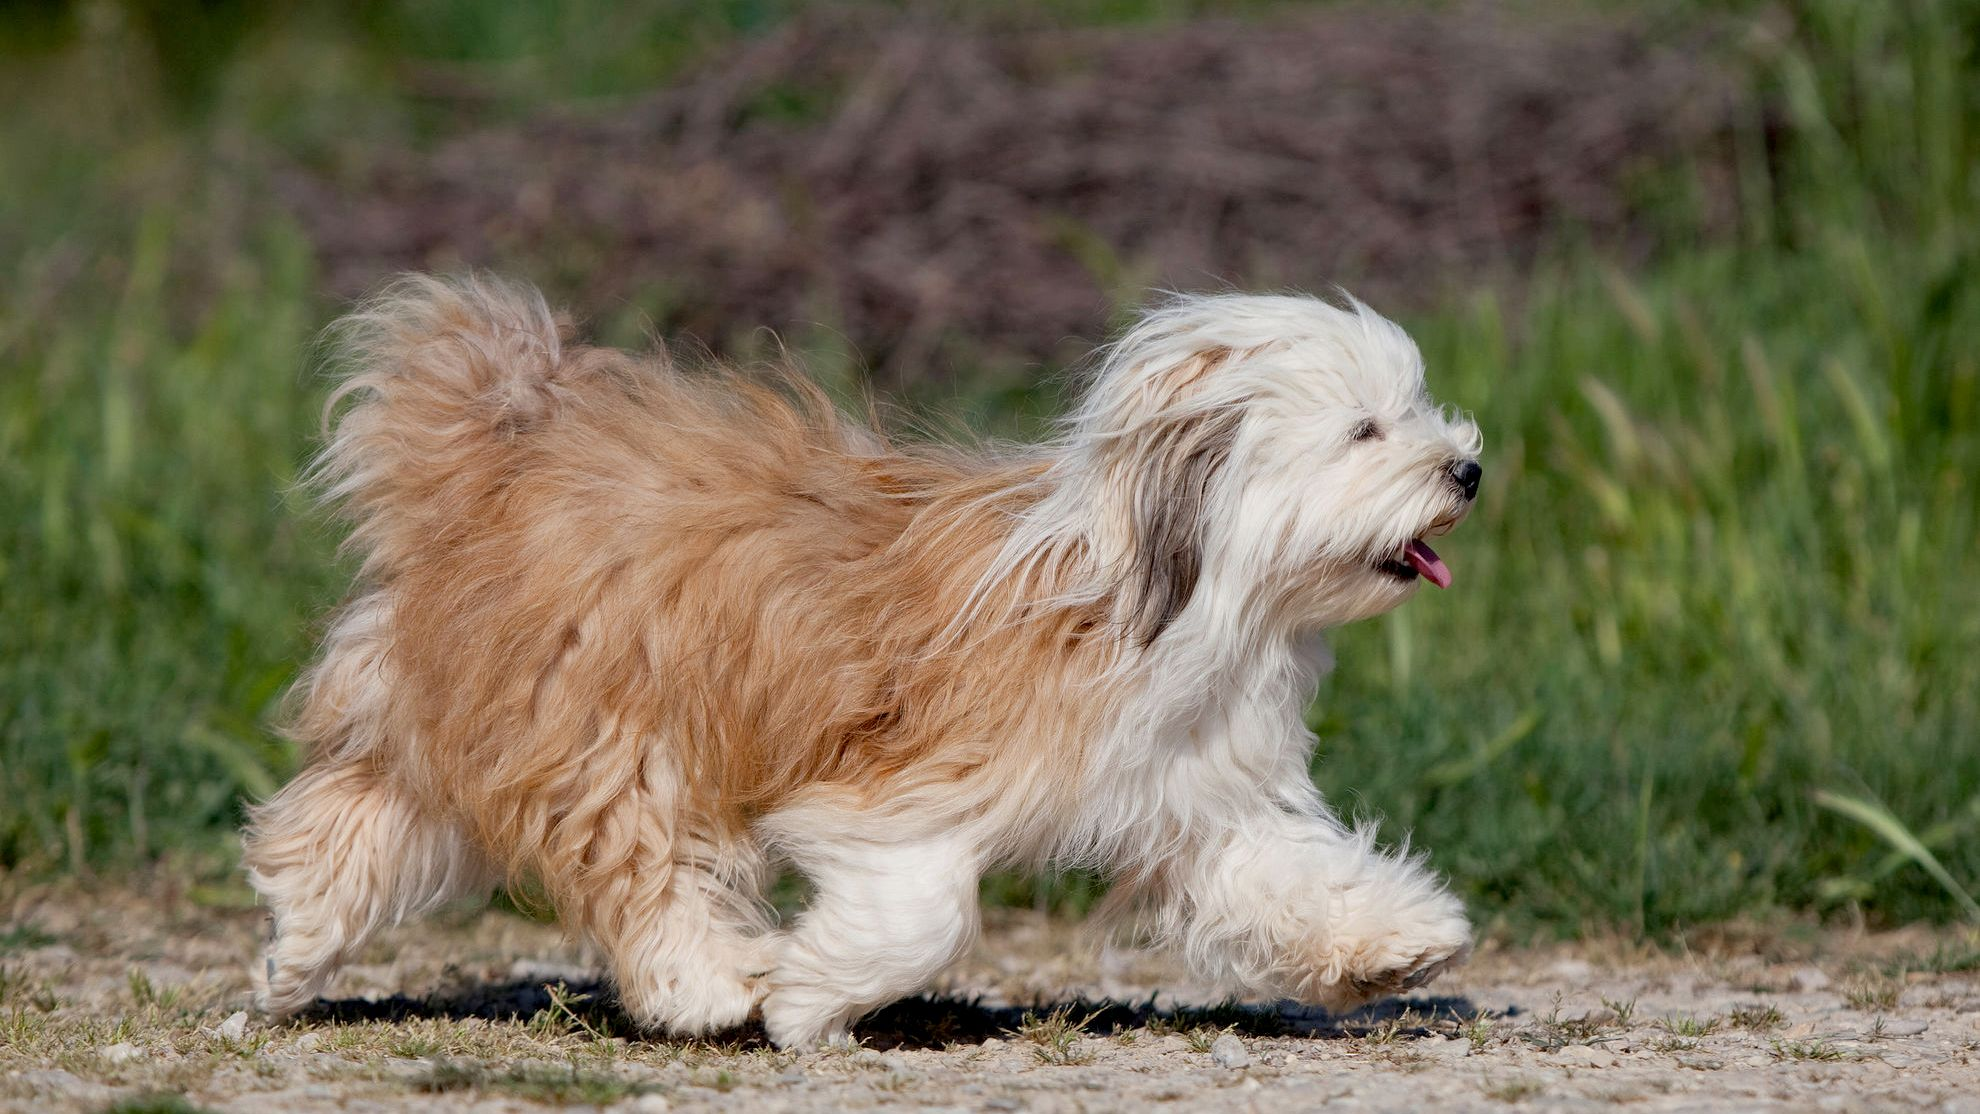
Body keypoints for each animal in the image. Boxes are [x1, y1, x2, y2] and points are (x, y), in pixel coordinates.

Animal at [239, 275, 1488, 1052]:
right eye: (1365, 430)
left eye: (1415, 410)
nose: (1469, 468)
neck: (1177, 587)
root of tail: (488, 469)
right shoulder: (909, 784)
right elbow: (922, 909)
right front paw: (805, 998)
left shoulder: (1192, 793)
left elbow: (1278, 871)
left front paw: (1394, 943)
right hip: (607, 724)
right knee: (640, 863)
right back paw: (710, 982)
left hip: (478, 716)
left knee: (345, 830)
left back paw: (292, 958)